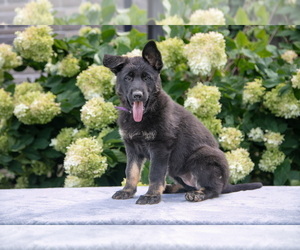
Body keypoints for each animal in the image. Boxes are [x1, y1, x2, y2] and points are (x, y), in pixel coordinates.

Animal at [103, 41, 262, 205]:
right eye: (128, 78)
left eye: (147, 78)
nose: (137, 95)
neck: (145, 114)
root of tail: (225, 183)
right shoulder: (132, 148)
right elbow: (131, 172)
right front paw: (127, 191)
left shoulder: (160, 147)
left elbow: (155, 174)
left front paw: (151, 195)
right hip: (176, 170)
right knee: (188, 186)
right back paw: (169, 188)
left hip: (202, 156)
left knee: (213, 189)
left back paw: (198, 194)